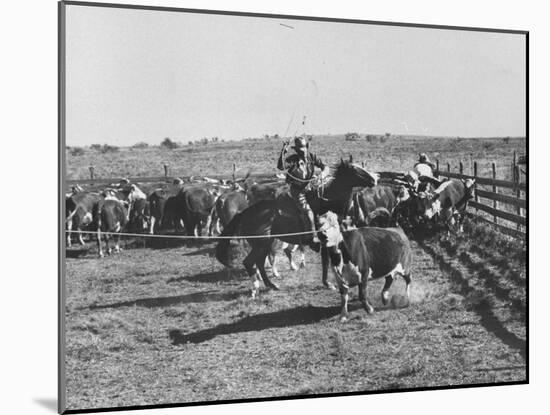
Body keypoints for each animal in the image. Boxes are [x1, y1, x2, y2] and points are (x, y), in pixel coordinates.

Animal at [216, 161, 380, 298]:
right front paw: (329, 284)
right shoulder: (325, 242)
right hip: (260, 244)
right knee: (249, 262)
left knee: (260, 263)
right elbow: (326, 263)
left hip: (264, 244)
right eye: (355, 169)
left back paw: (271, 285)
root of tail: (244, 213)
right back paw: (255, 288)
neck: (327, 206)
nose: (374, 180)